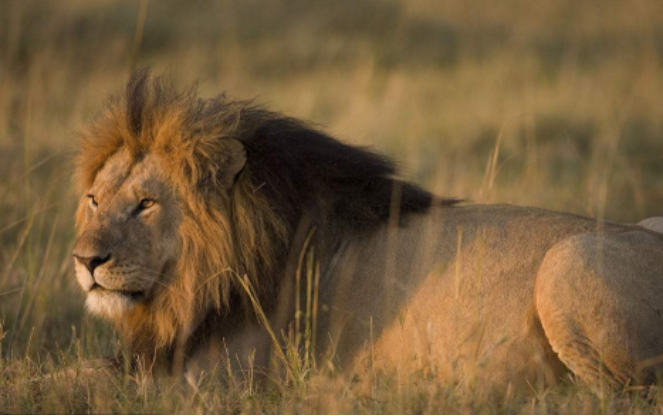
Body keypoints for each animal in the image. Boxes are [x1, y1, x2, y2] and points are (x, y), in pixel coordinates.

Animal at [74, 70, 663, 394]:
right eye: (95, 199)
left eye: (146, 204)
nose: (85, 261)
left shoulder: (217, 382)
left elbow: (85, 376)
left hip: (564, 266)